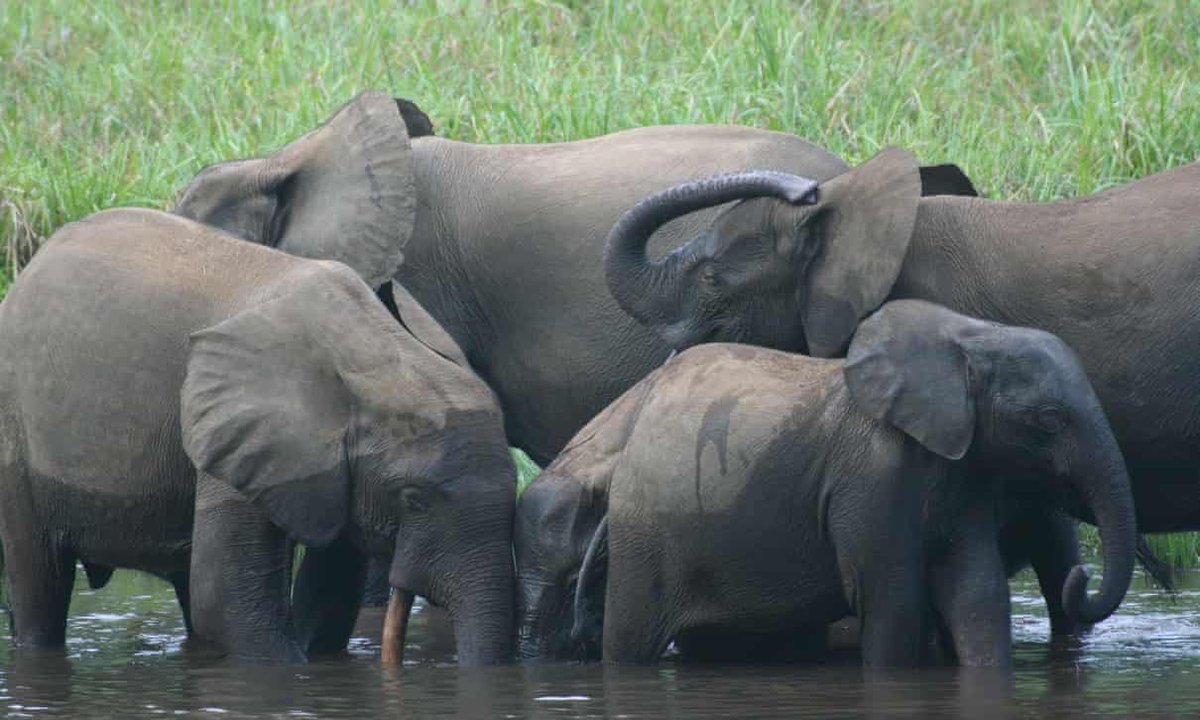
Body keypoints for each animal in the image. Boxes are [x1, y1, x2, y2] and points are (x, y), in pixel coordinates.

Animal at [0, 208, 516, 664]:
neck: (380, 350)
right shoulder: (233, 426)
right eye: (414, 501)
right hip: (14, 431)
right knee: (39, 584)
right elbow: (226, 601)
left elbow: (328, 591)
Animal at [516, 300, 1137, 667]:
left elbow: (977, 591)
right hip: (647, 534)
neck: (969, 336)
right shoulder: (871, 477)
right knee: (631, 644)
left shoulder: (962, 471)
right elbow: (891, 598)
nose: (1081, 578)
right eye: (1050, 420)